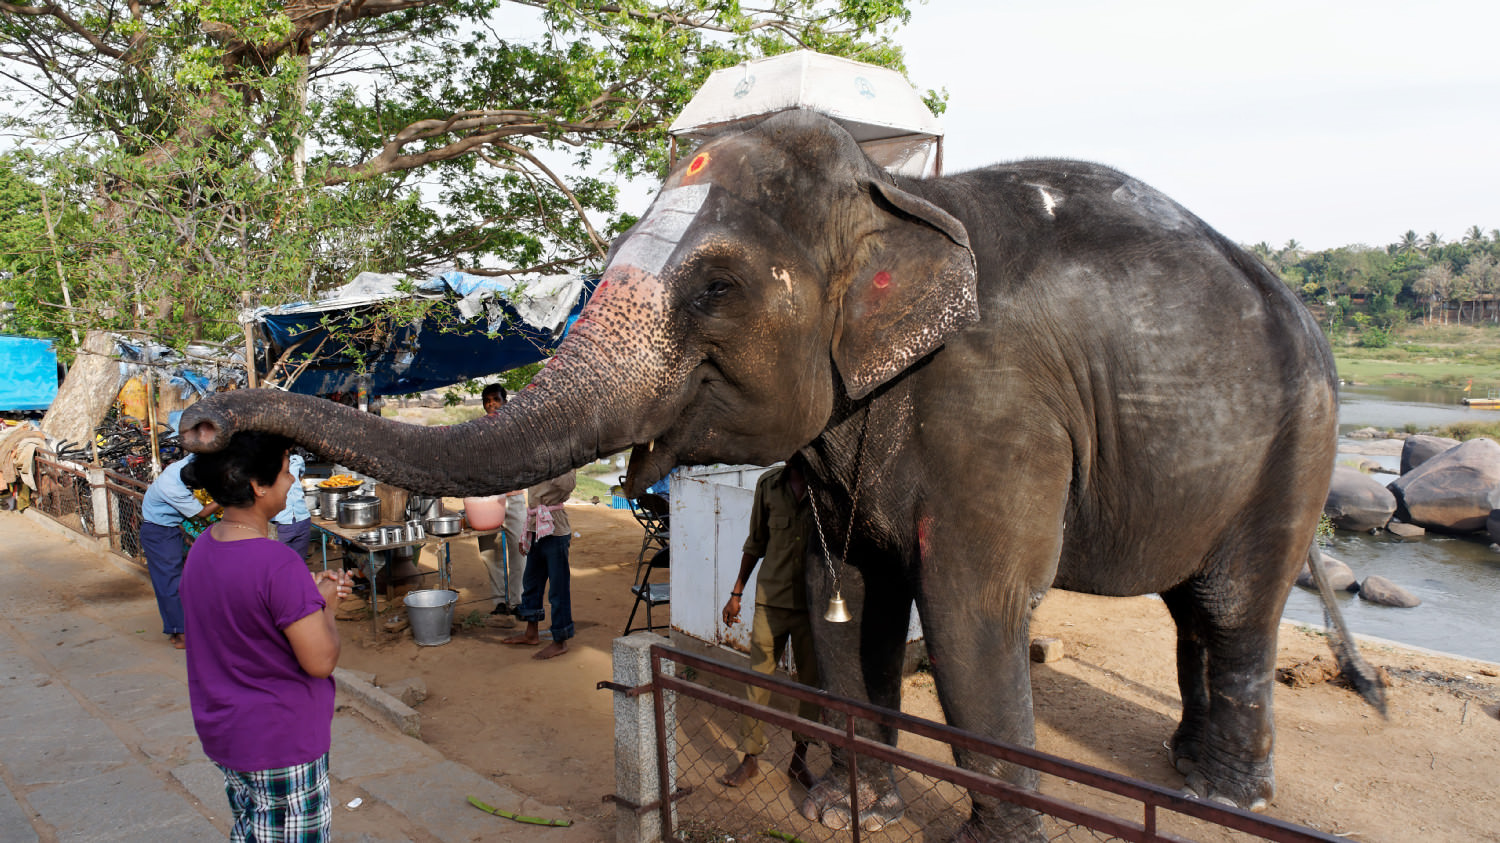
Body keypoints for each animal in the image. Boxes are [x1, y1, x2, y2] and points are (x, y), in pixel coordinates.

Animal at [178, 108, 1380, 834]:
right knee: (1194, 606)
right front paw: (854, 803)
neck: (893, 195)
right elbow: (850, 596)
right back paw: (1183, 770)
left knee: (1235, 604)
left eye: (714, 289)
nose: (208, 428)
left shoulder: (998, 407)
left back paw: (1224, 793)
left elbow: (971, 608)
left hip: (1302, 434)